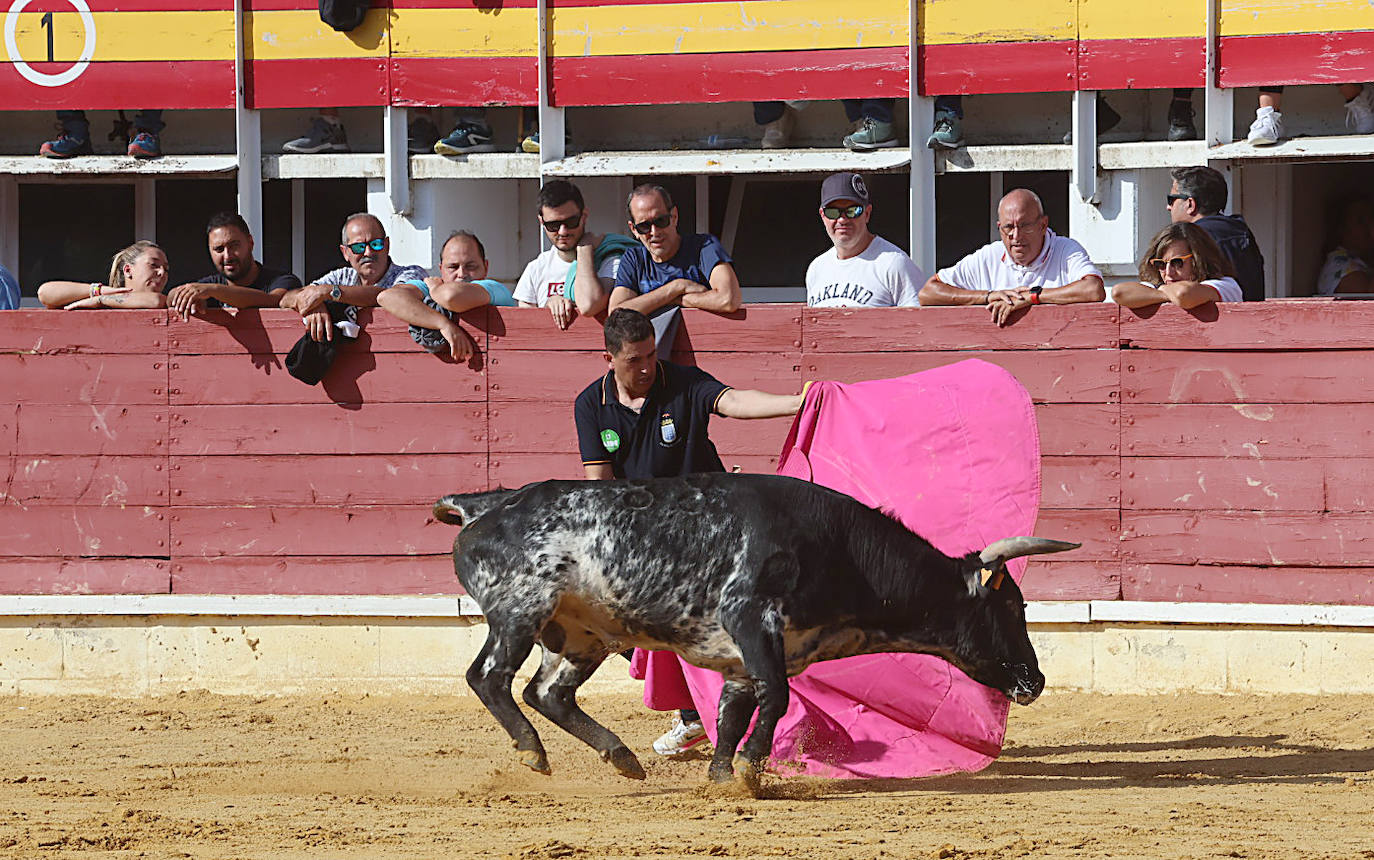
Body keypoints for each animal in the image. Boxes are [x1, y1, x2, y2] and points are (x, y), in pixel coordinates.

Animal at [434, 472, 1077, 785]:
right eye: (1012, 608)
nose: (1036, 680)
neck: (841, 550)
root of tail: (486, 505)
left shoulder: (742, 658)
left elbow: (734, 712)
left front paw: (723, 774)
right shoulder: (751, 619)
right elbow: (778, 697)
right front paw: (748, 770)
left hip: (581, 635)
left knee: (548, 692)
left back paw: (622, 758)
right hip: (520, 611)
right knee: (489, 678)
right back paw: (532, 755)